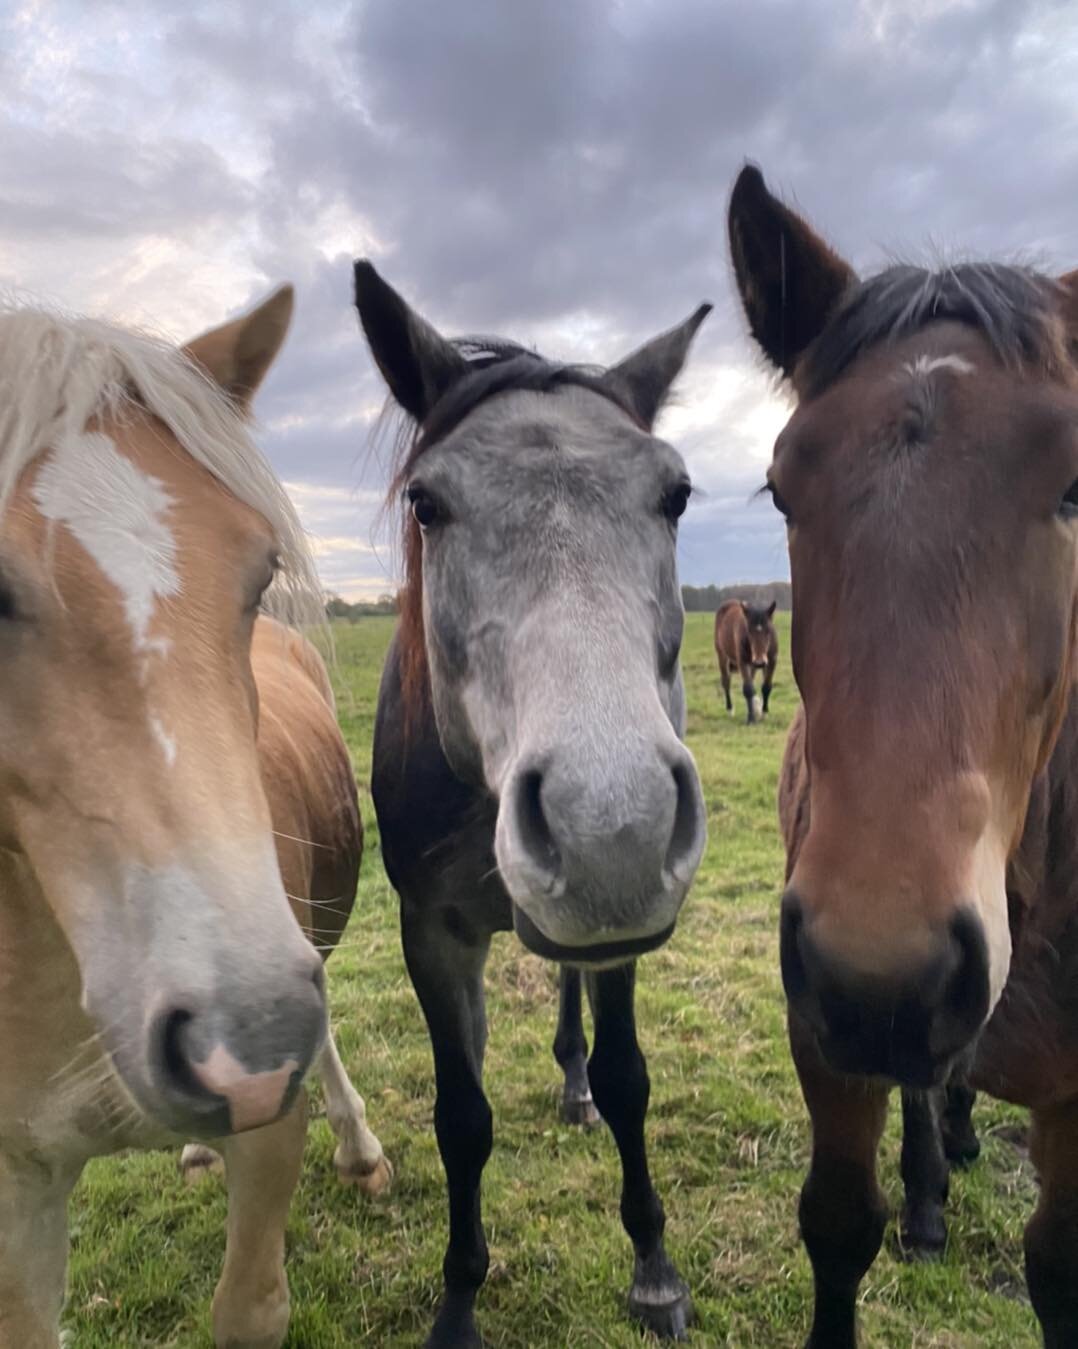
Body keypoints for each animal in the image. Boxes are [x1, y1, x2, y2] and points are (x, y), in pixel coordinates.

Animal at [733, 165, 1078, 1349]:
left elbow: (1056, 1267)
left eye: (1077, 488)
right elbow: (840, 1221)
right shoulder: (824, 1036)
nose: (880, 975)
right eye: (783, 488)